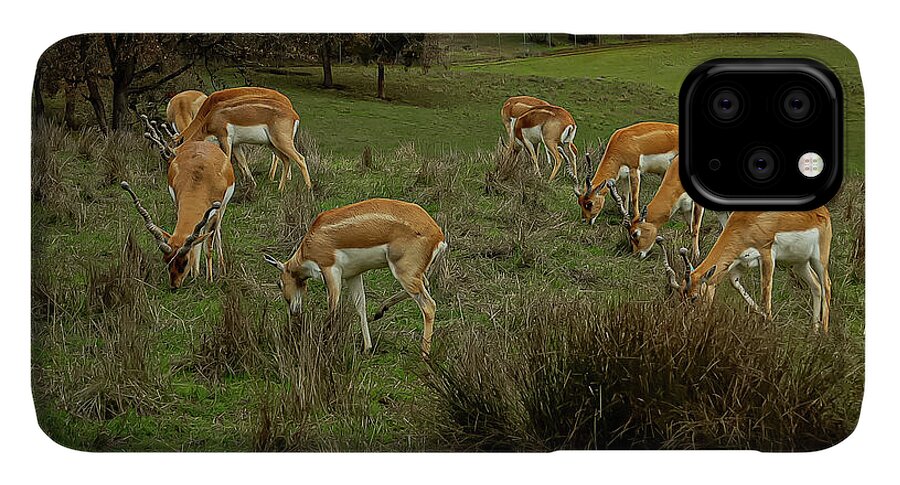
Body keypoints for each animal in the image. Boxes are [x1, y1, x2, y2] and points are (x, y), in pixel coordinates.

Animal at [121, 134, 235, 288]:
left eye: (184, 261)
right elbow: (195, 241)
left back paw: (221, 267)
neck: (199, 180)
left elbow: (208, 248)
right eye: (166, 260)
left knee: (216, 231)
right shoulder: (178, 204)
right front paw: (195, 275)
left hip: (222, 209)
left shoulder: (214, 213)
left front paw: (209, 280)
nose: (174, 285)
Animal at [171, 86, 311, 192]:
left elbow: (227, 160)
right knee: (286, 160)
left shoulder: (225, 138)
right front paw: (251, 184)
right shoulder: (236, 144)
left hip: (281, 142)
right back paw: (280, 188)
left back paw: (308, 189)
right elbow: (242, 161)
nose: (173, 179)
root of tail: (294, 114)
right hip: (272, 143)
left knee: (300, 158)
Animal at [263, 198, 448, 356]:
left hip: (403, 272)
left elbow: (333, 308)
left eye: (279, 283)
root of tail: (438, 234)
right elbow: (360, 306)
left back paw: (424, 354)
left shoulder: (330, 271)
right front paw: (367, 347)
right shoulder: (353, 275)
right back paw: (380, 311)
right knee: (425, 285)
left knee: (429, 305)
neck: (311, 242)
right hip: (412, 273)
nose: (293, 311)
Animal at [656, 207, 833, 333]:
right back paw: (814, 330)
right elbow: (737, 286)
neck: (747, 222)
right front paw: (765, 318)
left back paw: (824, 333)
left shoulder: (767, 255)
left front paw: (768, 324)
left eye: (694, 298)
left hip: (819, 259)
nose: (687, 322)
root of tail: (823, 212)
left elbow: (765, 291)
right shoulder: (738, 264)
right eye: (680, 297)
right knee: (816, 286)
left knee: (827, 285)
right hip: (799, 263)